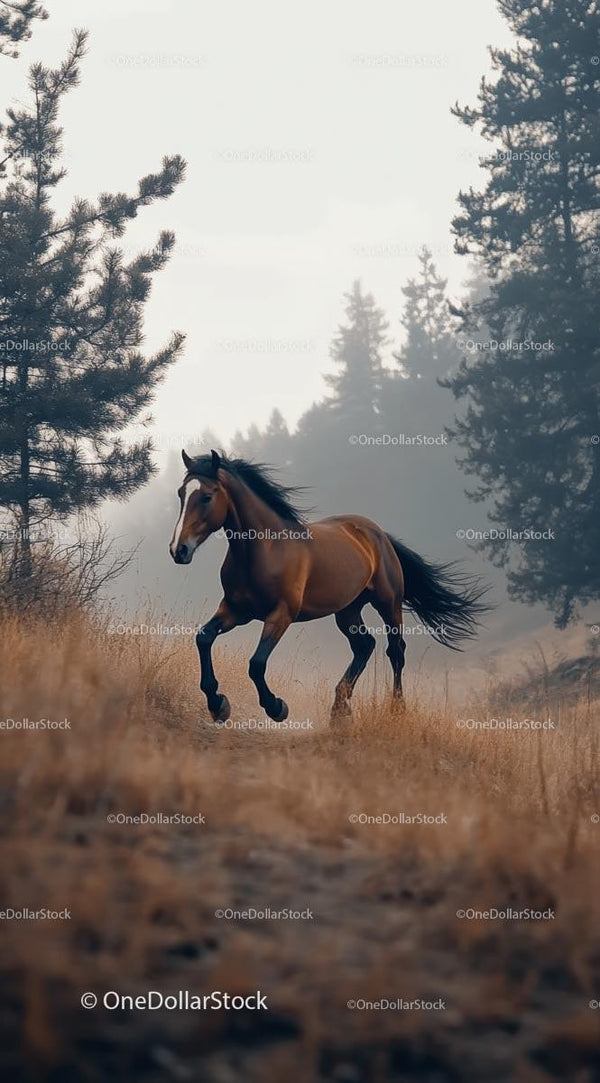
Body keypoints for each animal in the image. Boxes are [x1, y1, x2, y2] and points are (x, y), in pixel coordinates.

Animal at [169, 449, 487, 724]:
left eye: (206, 497)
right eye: (181, 494)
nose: (178, 550)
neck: (266, 549)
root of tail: (378, 533)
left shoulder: (280, 615)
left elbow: (257, 663)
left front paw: (276, 707)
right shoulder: (235, 610)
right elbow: (203, 638)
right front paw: (217, 704)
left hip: (388, 603)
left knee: (395, 650)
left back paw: (396, 710)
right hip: (347, 610)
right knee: (365, 646)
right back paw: (339, 710)